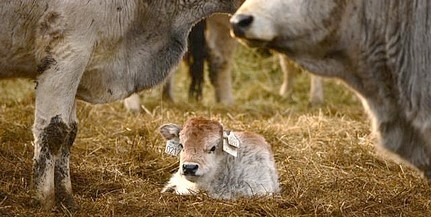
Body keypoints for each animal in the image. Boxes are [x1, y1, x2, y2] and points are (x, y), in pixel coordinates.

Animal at [0, 0, 243, 210]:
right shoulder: (65, 54)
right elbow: (53, 131)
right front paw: (44, 200)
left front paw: (66, 198)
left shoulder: (77, 65)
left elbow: (69, 132)